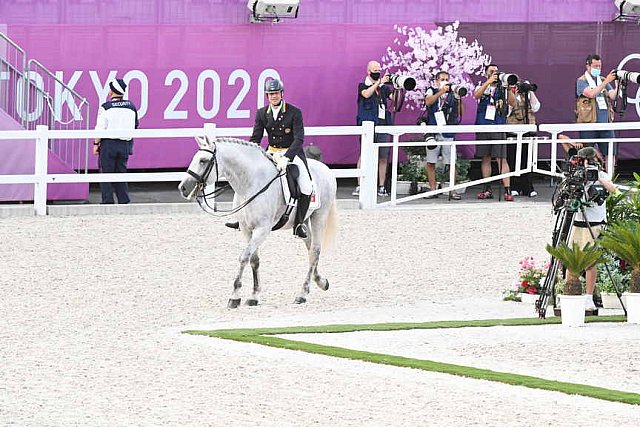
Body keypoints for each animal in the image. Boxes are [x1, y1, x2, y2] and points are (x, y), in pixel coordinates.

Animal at [176, 136, 336, 308]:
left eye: (203, 161)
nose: (183, 188)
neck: (251, 183)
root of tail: (326, 169)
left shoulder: (262, 230)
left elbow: (244, 257)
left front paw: (235, 296)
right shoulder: (247, 229)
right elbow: (254, 260)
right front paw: (254, 296)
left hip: (319, 215)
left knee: (315, 251)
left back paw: (302, 294)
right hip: (303, 221)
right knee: (310, 248)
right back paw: (321, 282)